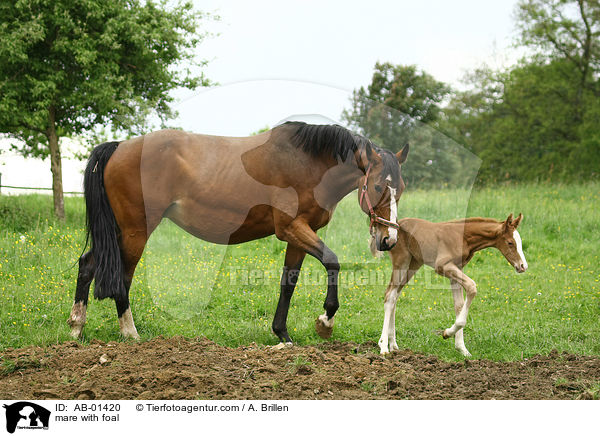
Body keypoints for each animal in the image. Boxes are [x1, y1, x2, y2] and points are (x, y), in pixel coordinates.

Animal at [378, 213, 528, 356]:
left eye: (520, 242)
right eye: (510, 243)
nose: (523, 266)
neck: (464, 238)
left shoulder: (456, 270)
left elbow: (459, 305)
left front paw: (462, 349)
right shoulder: (443, 266)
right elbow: (472, 287)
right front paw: (447, 333)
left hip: (413, 264)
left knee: (394, 296)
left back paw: (393, 345)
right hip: (401, 262)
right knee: (390, 296)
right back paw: (384, 346)